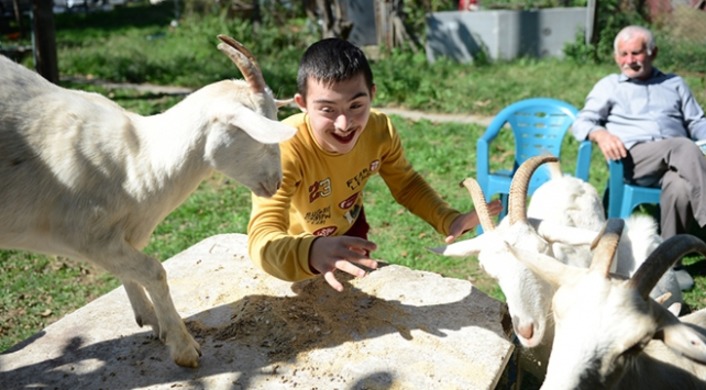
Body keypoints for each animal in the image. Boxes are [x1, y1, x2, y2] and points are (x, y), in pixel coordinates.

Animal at [0, 35, 296, 368]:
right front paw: (183, 347)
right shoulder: (86, 235)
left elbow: (131, 271)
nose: (276, 183)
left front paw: (151, 320)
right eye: (258, 132)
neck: (136, 160)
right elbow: (154, 270)